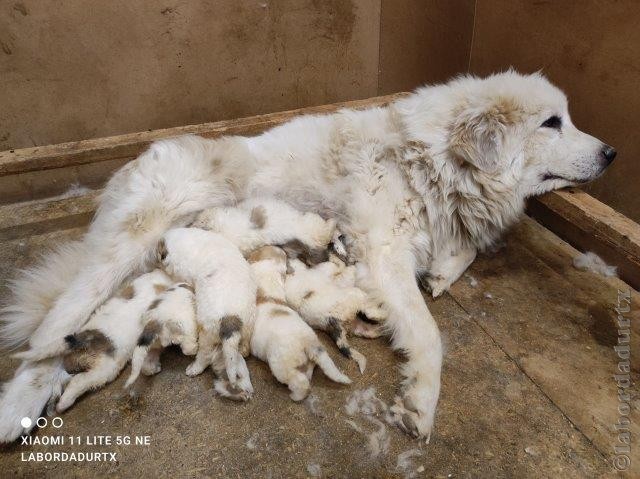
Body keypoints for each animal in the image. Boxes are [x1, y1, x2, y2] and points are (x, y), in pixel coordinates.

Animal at [159, 227, 256, 400]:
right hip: (247, 323)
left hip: (207, 335)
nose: (156, 259)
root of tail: (230, 319)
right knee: (244, 347)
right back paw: (243, 351)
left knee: (204, 356)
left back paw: (193, 369)